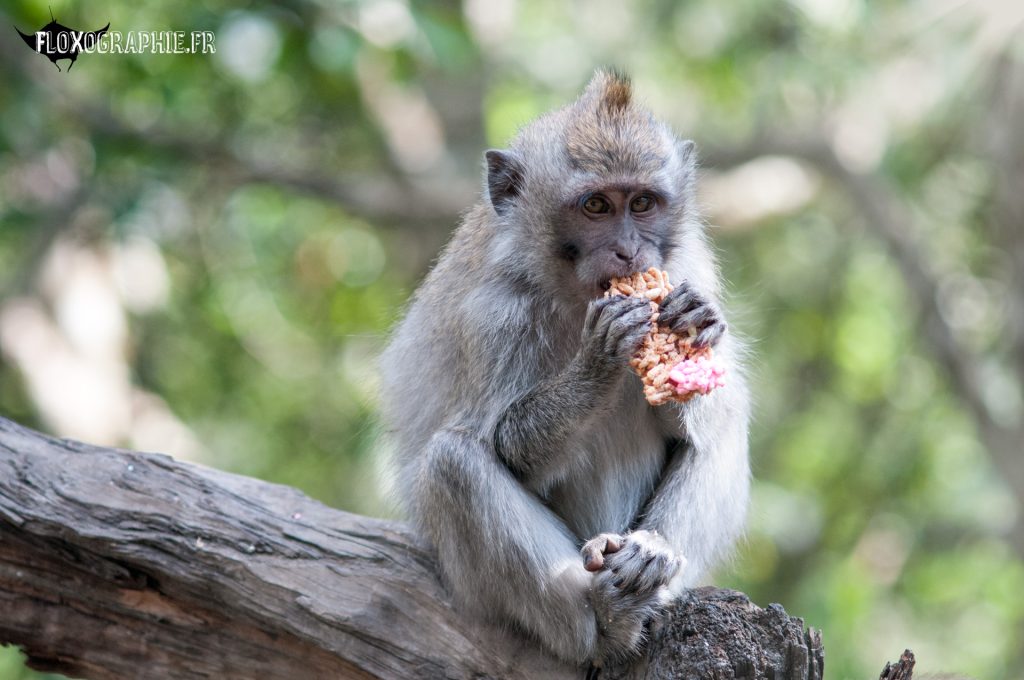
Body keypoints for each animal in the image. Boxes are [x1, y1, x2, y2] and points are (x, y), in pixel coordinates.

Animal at [378, 70, 750, 668]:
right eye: (596, 205)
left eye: (642, 203)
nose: (628, 251)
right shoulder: (495, 317)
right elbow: (506, 446)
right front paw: (598, 359)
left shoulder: (688, 265)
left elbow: (704, 419)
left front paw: (695, 323)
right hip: (466, 583)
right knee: (451, 462)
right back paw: (603, 623)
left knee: (724, 425)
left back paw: (650, 557)